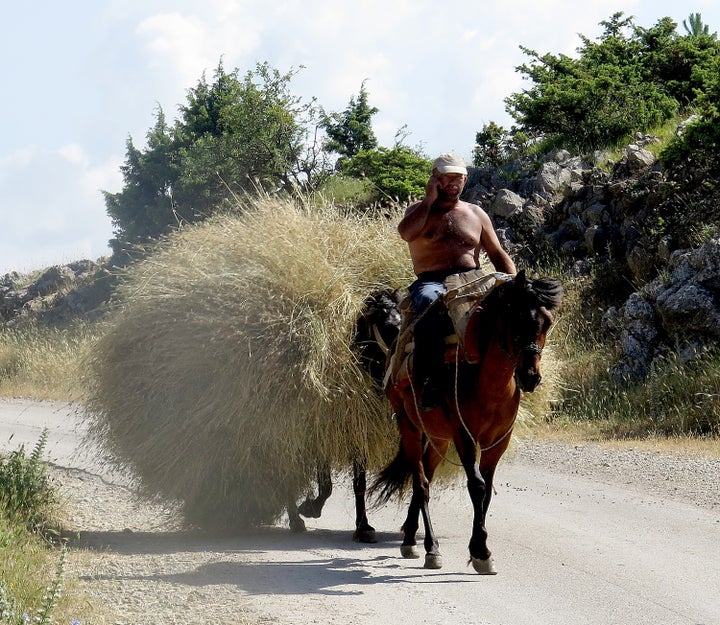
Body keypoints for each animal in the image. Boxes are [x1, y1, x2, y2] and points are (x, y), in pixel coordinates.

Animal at [372, 270, 564, 572]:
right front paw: (481, 551)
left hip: (438, 437)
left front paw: (479, 549)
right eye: (518, 318)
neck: (489, 385)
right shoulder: (464, 435)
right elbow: (477, 486)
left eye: (547, 322)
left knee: (426, 478)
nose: (530, 376)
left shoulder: (497, 443)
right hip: (409, 426)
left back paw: (412, 538)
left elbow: (487, 491)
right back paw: (430, 548)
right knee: (421, 484)